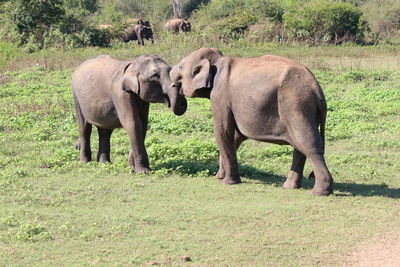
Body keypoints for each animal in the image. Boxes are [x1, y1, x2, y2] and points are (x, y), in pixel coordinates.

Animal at [170, 47, 332, 196]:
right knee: (300, 145)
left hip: (295, 105)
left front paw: (226, 182)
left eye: (180, 66)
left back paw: (319, 192)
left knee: (308, 143)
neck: (217, 60)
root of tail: (317, 89)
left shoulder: (220, 95)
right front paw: (220, 175)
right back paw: (289, 187)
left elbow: (223, 132)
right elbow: (237, 135)